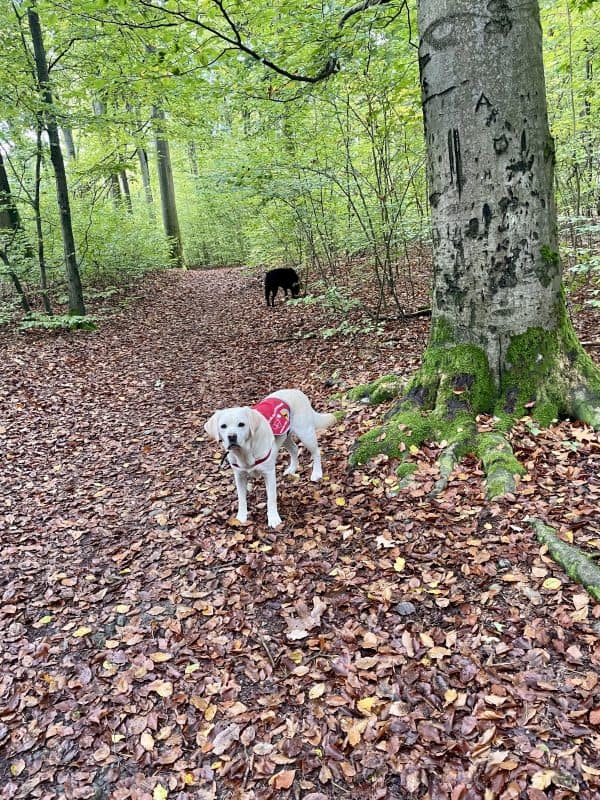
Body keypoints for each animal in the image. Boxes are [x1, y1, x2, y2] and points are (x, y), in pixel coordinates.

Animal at [204, 390, 336, 528]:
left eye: (241, 424)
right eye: (223, 426)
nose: (232, 437)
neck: (245, 452)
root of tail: (296, 390)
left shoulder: (269, 473)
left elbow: (271, 498)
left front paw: (273, 519)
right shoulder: (239, 476)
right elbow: (241, 498)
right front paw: (241, 517)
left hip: (305, 433)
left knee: (316, 452)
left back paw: (317, 473)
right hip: (284, 437)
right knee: (294, 449)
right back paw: (292, 469)